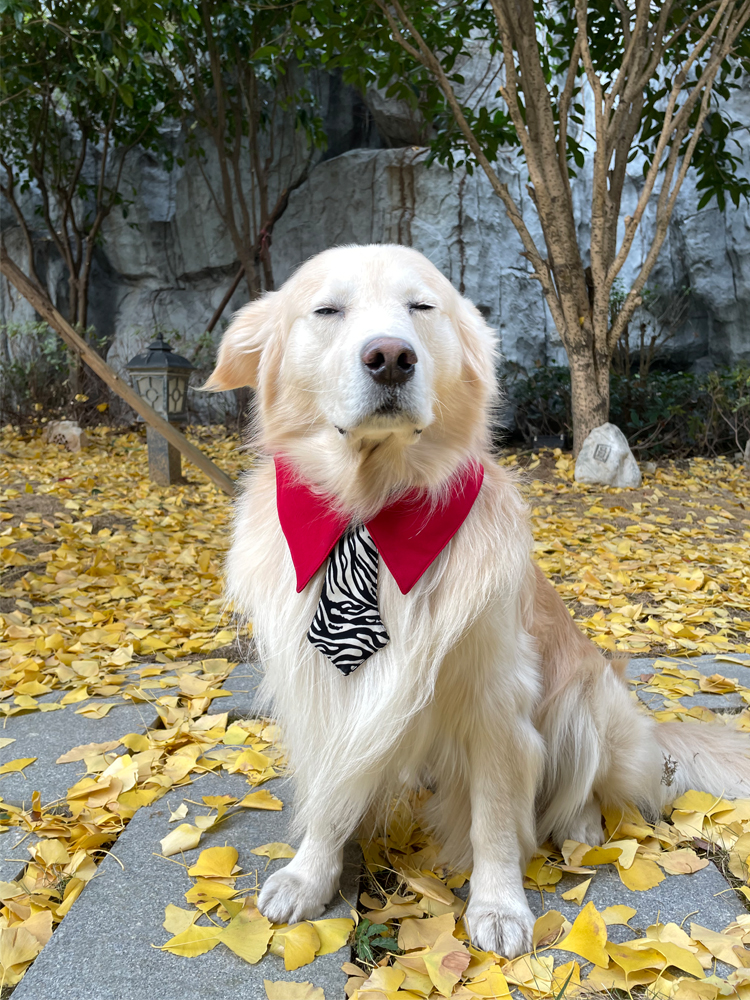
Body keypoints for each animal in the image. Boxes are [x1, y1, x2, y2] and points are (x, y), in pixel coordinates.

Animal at [209, 246, 750, 956]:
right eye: (327, 310)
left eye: (421, 306)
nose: (391, 357)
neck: (373, 510)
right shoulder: (320, 691)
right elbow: (330, 795)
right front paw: (310, 876)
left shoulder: (495, 703)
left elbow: (494, 817)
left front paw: (498, 904)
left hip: (588, 699)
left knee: (587, 788)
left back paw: (581, 829)